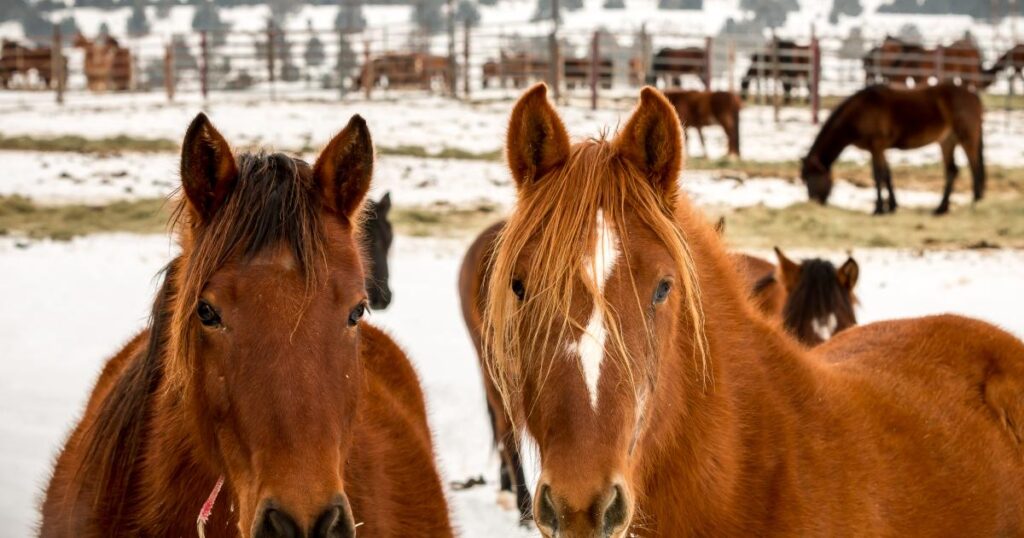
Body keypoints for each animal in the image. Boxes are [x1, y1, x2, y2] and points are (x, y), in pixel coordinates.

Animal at [801, 83, 984, 215]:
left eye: (811, 178)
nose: (813, 202)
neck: (860, 111)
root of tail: (973, 95)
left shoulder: (877, 146)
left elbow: (877, 175)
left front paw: (878, 209)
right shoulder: (878, 149)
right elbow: (886, 175)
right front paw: (892, 206)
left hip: (967, 139)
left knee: (974, 168)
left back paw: (975, 203)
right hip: (947, 141)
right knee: (952, 171)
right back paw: (941, 209)